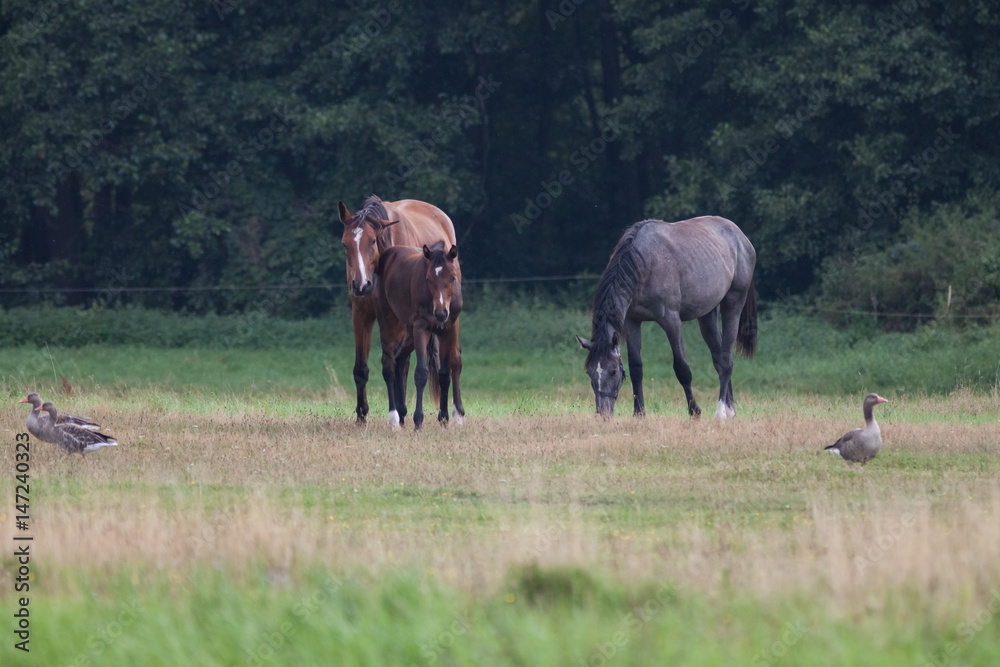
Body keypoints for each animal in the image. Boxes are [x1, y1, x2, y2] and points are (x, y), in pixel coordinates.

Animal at [340, 196, 458, 422]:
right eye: (345, 244)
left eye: (373, 241)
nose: (361, 285)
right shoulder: (361, 314)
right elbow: (361, 368)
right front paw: (361, 416)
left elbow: (400, 364)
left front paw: (400, 412)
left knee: (451, 359)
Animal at [376, 243, 464, 430]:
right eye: (428, 279)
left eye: (453, 278)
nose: (440, 313)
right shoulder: (421, 328)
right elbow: (421, 373)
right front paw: (418, 421)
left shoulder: (448, 330)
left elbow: (444, 374)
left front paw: (444, 418)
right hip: (389, 323)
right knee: (388, 365)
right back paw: (394, 418)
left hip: (410, 331)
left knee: (400, 358)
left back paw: (402, 414)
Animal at [580, 217, 756, 420]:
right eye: (589, 372)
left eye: (613, 371)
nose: (603, 414)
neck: (643, 263)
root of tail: (741, 237)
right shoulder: (632, 321)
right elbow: (636, 368)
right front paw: (639, 413)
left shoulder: (671, 321)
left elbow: (682, 369)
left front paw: (694, 411)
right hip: (707, 316)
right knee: (719, 358)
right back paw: (730, 410)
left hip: (733, 305)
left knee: (726, 360)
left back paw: (721, 413)